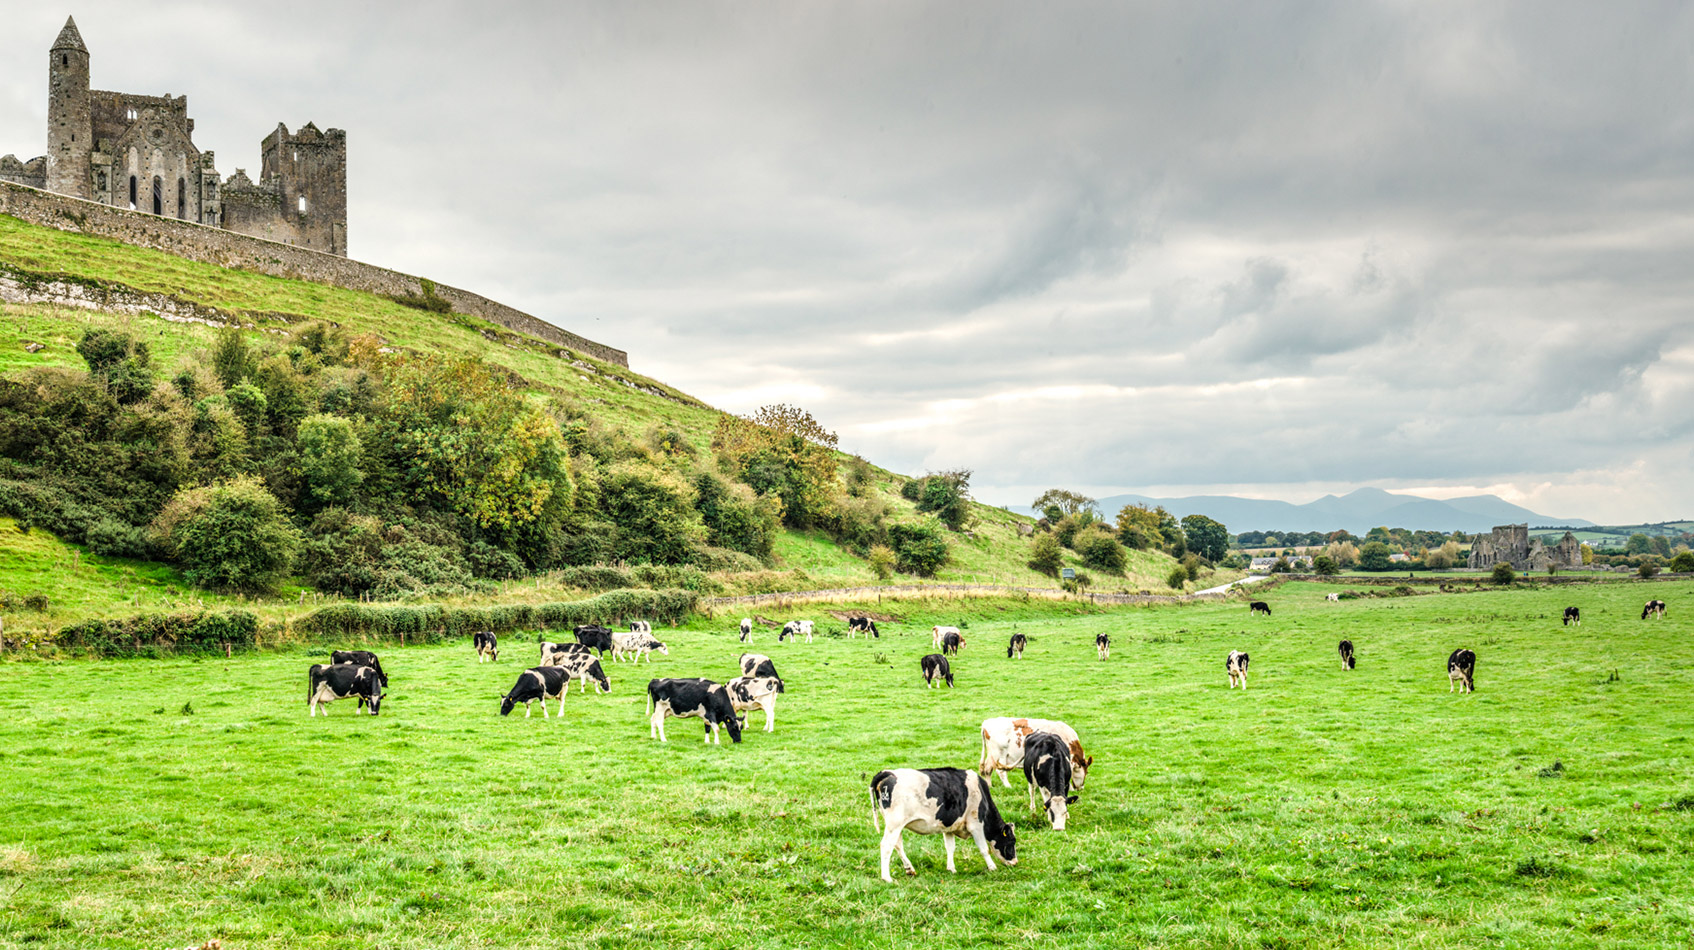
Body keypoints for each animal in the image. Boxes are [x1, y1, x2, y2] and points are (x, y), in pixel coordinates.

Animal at [867, 762, 1009, 880]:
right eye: (1011, 841)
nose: (1013, 862)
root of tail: (887, 772)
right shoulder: (976, 824)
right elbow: (984, 848)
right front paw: (992, 867)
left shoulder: (949, 826)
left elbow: (950, 847)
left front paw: (951, 869)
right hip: (895, 824)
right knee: (886, 846)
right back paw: (887, 878)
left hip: (895, 826)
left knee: (897, 845)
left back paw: (909, 869)